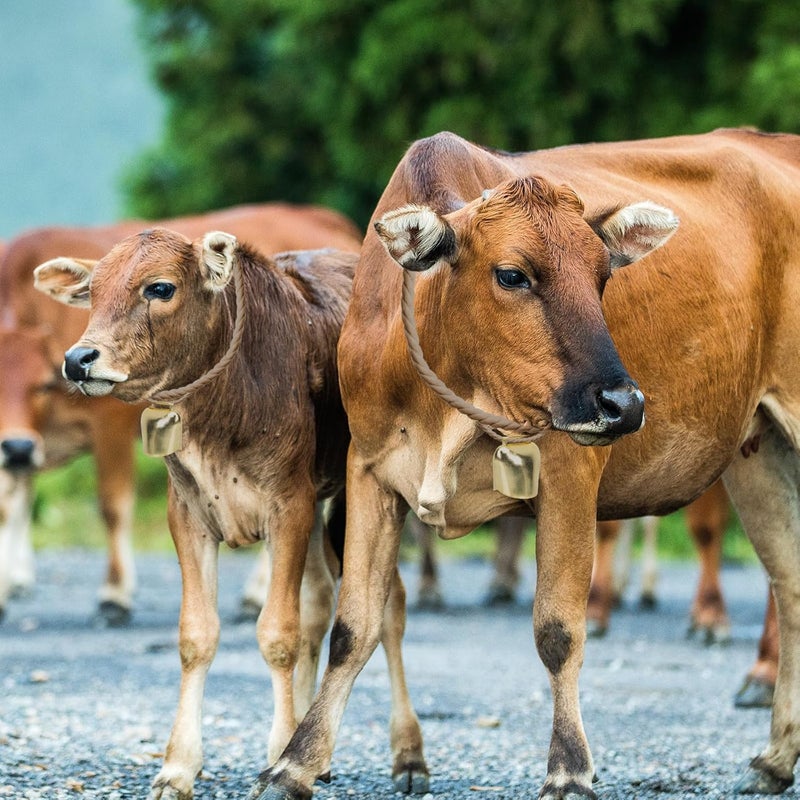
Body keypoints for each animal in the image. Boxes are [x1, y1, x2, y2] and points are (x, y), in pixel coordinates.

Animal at [0, 204, 362, 625]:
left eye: (160, 288)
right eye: (92, 293)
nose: (77, 360)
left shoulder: (108, 425)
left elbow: (112, 505)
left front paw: (115, 595)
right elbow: (11, 505)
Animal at [35, 233, 424, 800]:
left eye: (160, 287)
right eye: (93, 292)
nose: (79, 358)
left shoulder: (289, 506)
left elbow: (277, 634)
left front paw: (280, 755)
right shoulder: (189, 515)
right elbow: (196, 636)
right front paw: (178, 767)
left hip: (364, 499)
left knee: (388, 606)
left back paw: (408, 755)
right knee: (319, 601)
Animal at [244, 129, 800, 800]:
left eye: (603, 275)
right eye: (512, 275)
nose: (622, 403)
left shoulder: (568, 471)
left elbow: (558, 629)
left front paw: (569, 768)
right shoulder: (368, 473)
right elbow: (354, 626)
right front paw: (294, 764)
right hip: (759, 451)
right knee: (791, 584)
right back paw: (776, 757)